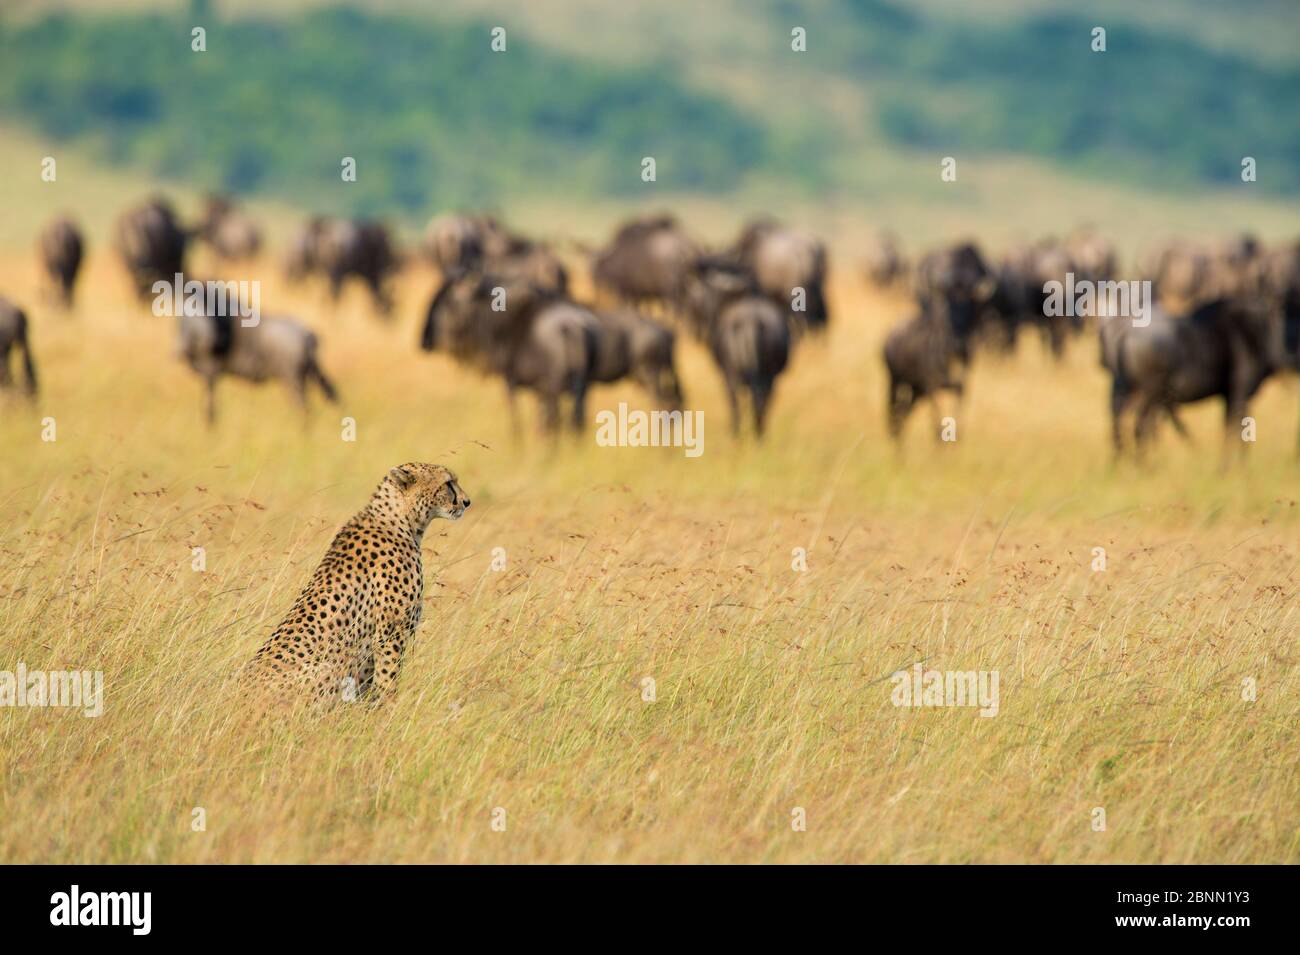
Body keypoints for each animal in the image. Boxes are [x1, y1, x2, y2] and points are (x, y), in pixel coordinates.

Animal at [245, 462, 470, 701]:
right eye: (448, 483)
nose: (467, 502)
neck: (400, 519)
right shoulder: (390, 633)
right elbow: (388, 679)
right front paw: (388, 707)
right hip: (328, 668)